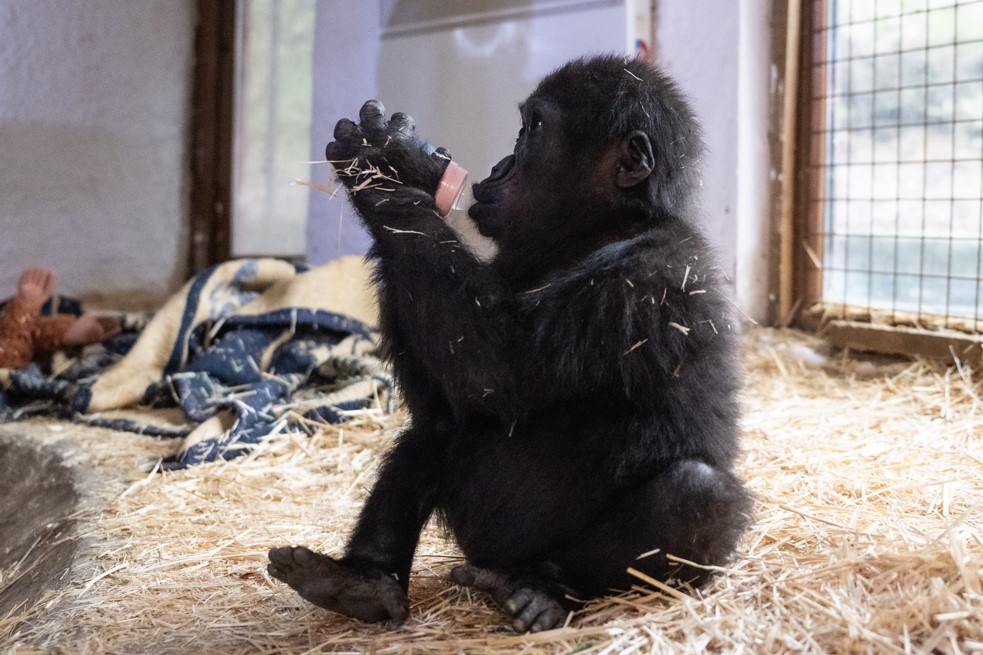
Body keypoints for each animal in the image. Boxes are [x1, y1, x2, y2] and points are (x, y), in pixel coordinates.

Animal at [270, 55, 752, 632]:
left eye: (533, 129)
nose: (499, 166)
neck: (600, 229)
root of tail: (493, 564)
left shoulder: (653, 279)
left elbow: (497, 368)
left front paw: (387, 167)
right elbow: (450, 387)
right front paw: (401, 167)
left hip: (536, 556)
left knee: (698, 496)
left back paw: (546, 592)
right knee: (434, 432)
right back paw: (361, 581)